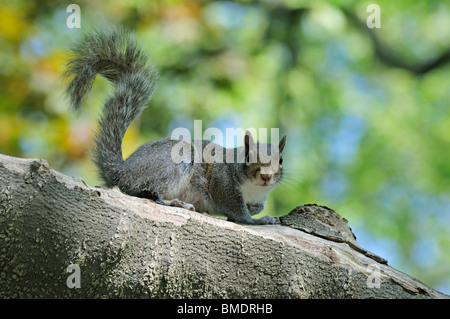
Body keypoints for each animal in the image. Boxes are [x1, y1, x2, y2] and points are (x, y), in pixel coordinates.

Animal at [65, 28, 286, 226]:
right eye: (248, 156)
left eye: (281, 160)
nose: (266, 176)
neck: (254, 189)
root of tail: (122, 172)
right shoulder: (222, 184)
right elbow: (238, 212)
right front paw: (259, 220)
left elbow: (258, 205)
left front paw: (258, 210)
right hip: (174, 163)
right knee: (146, 193)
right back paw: (175, 203)